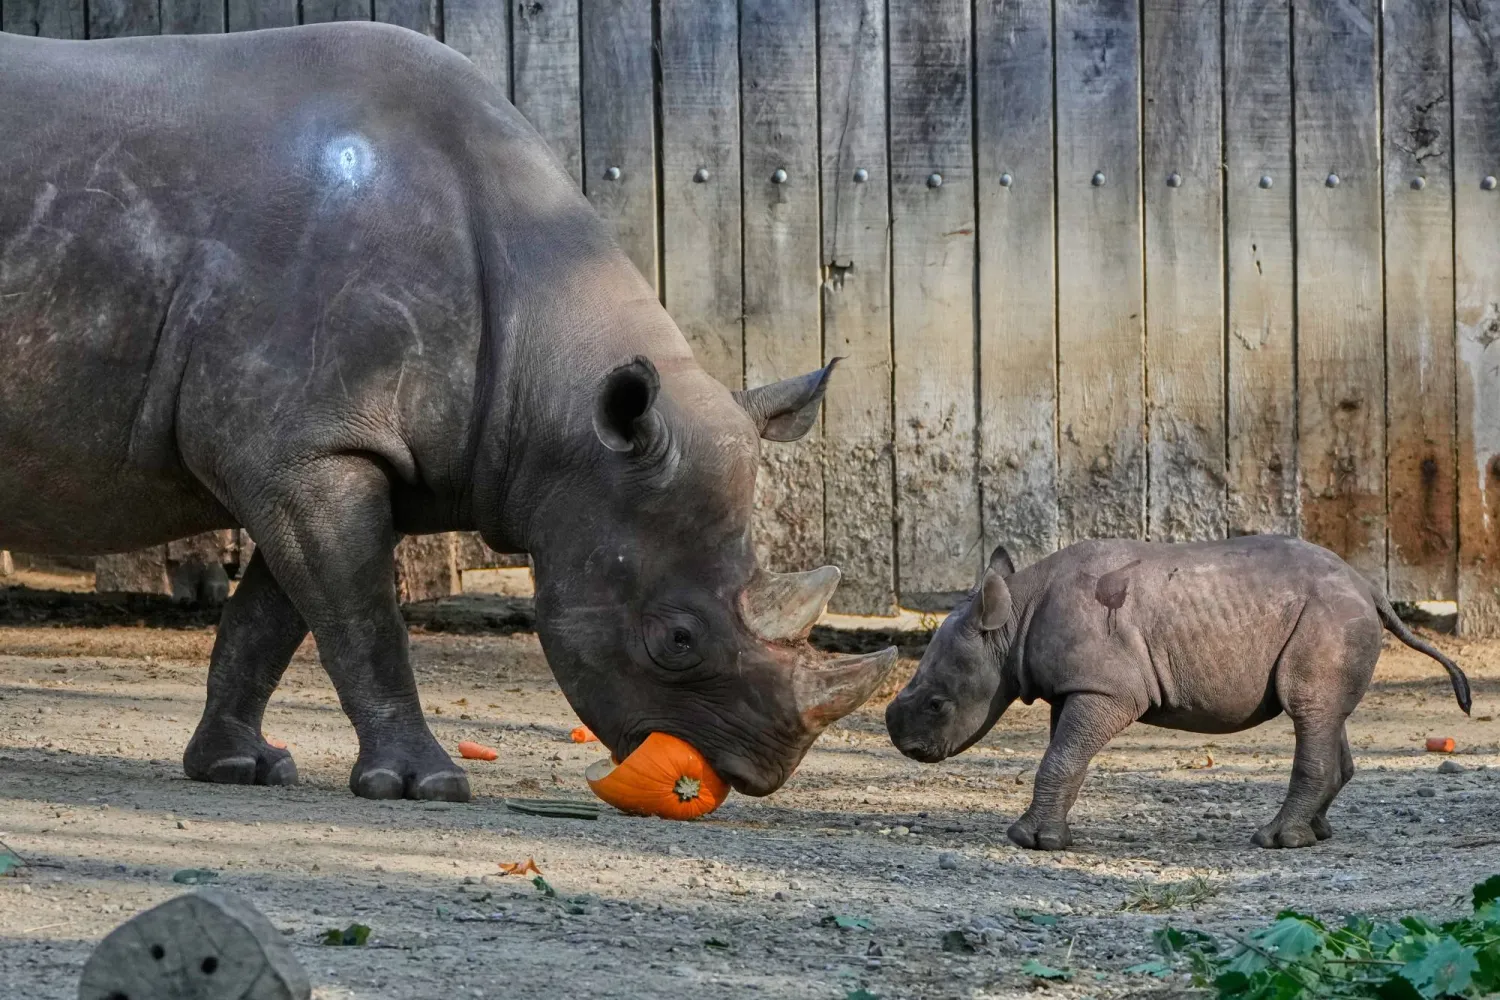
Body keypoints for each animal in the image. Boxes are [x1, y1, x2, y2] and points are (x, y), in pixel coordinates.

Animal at [0, 24, 896, 801]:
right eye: (675, 640)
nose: (759, 770)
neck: (560, 396)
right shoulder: (306, 449)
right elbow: (362, 618)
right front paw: (423, 785)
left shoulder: (322, 451)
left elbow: (273, 618)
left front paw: (237, 766)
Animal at [885, 535, 1471, 849]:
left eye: (937, 705)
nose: (904, 745)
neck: (1012, 620)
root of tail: (1368, 586)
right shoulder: (1077, 686)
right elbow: (1064, 758)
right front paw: (1047, 836)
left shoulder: (1110, 690)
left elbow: (1060, 758)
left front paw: (1029, 842)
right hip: (1334, 613)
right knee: (1326, 714)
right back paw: (1316, 832)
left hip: (1328, 613)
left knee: (1309, 709)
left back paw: (1274, 841)